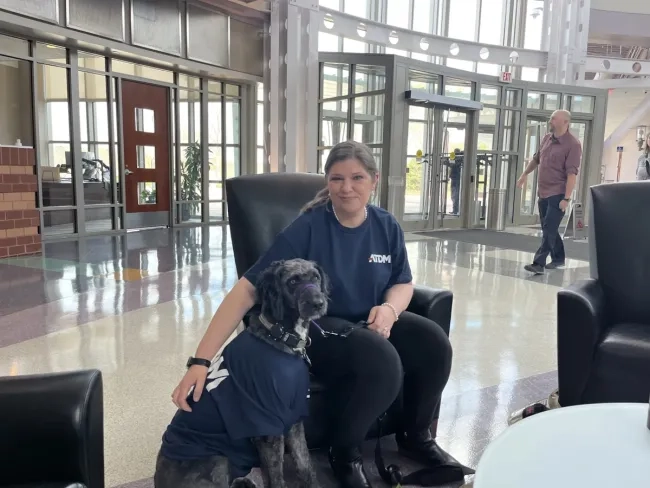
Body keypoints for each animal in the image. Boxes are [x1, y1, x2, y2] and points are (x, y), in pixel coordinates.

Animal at [153, 258, 330, 486]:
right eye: (292, 281)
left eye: (315, 277)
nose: (318, 303)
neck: (278, 336)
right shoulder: (267, 429)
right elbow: (276, 478)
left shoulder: (294, 418)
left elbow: (305, 466)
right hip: (217, 458)